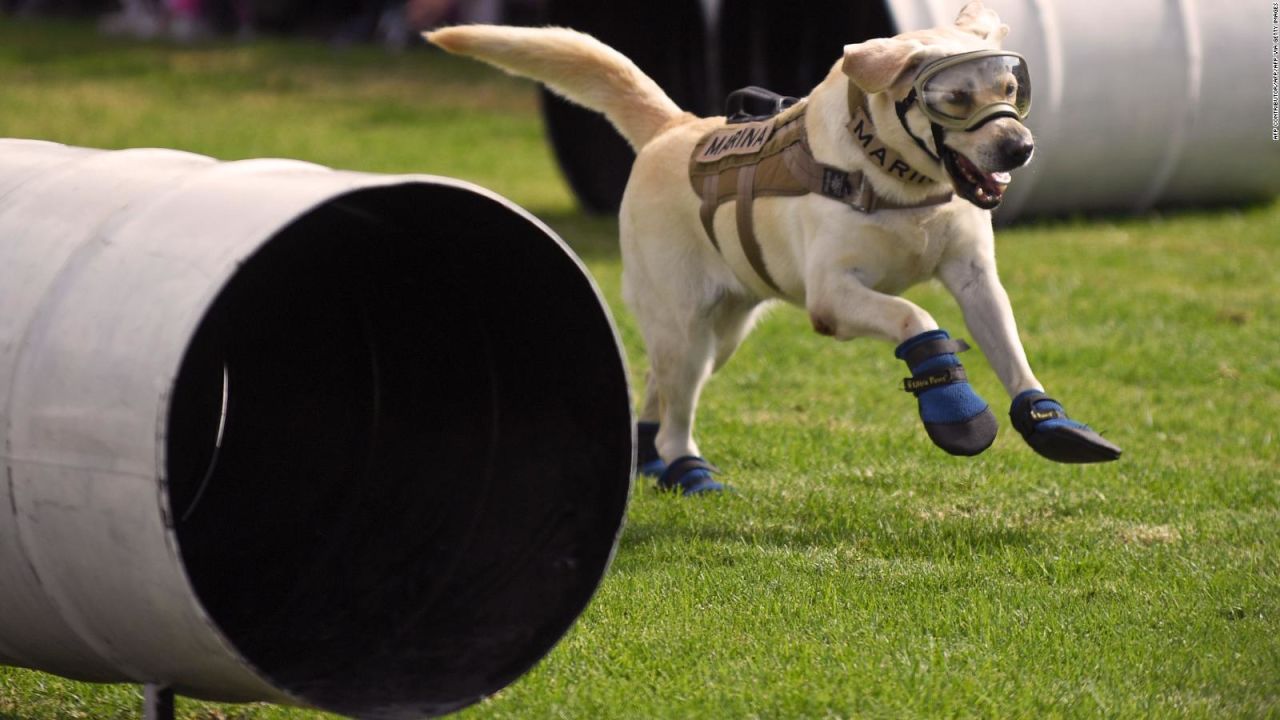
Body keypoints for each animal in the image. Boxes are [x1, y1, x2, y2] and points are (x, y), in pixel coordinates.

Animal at [424, 0, 1116, 489]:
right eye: (952, 97)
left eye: (1011, 89)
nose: (1020, 148)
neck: (897, 179)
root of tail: (675, 127)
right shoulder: (832, 297)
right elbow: (915, 316)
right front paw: (955, 405)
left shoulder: (976, 278)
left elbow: (1011, 351)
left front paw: (1051, 421)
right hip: (686, 328)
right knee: (676, 411)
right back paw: (686, 470)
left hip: (720, 336)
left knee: (657, 389)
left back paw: (653, 463)